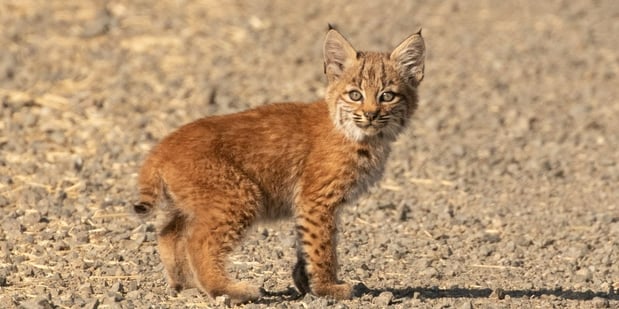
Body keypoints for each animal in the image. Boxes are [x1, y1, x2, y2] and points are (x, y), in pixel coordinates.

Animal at [136, 26, 426, 300]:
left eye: (387, 96)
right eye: (355, 95)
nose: (370, 115)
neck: (363, 135)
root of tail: (164, 144)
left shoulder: (308, 202)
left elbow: (307, 242)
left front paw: (307, 283)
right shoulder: (317, 199)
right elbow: (323, 246)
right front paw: (328, 287)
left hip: (194, 202)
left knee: (168, 232)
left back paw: (184, 284)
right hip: (240, 194)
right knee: (198, 242)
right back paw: (229, 289)